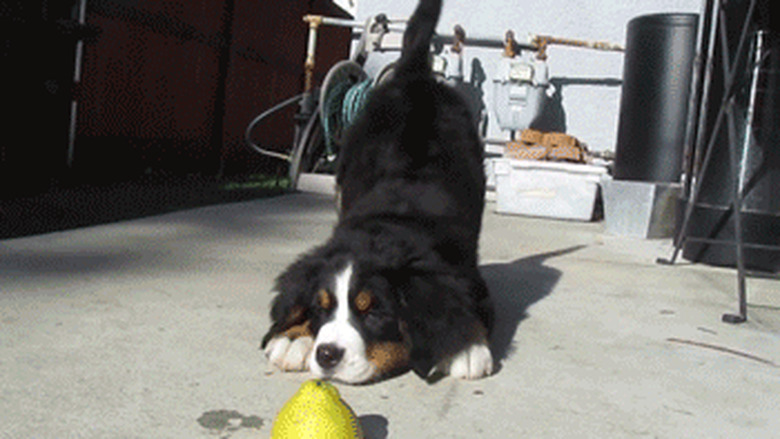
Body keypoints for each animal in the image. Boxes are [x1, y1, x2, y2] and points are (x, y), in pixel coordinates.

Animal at [262, 0, 494, 384]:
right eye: (320, 309)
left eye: (374, 313)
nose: (327, 354)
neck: (386, 227)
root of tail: (415, 76)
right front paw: (294, 338)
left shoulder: (468, 277)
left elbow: (471, 311)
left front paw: (465, 346)